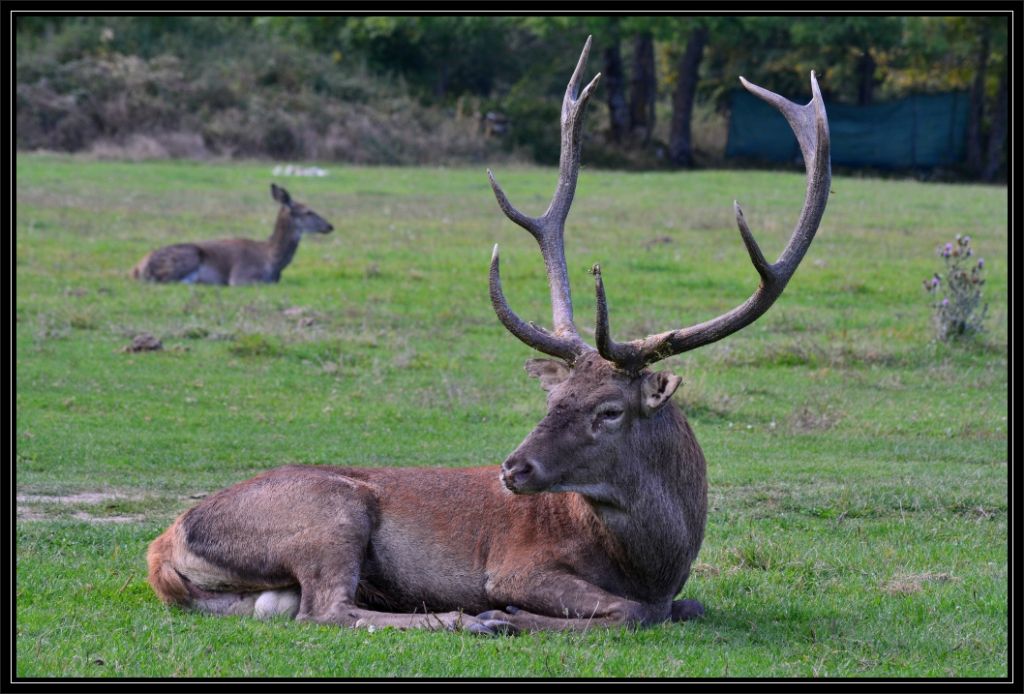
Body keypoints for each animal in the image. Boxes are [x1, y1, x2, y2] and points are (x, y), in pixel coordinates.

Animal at [130, 183, 333, 286]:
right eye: (308, 211)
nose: (330, 226)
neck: (272, 262)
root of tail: (137, 268)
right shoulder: (241, 275)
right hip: (187, 257)